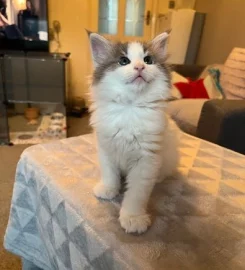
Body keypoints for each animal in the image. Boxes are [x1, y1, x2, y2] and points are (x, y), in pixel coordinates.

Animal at [87, 31, 178, 234]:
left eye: (148, 60)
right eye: (123, 61)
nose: (139, 67)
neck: (130, 107)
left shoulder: (146, 161)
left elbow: (136, 194)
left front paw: (133, 218)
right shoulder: (106, 149)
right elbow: (110, 174)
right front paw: (108, 189)